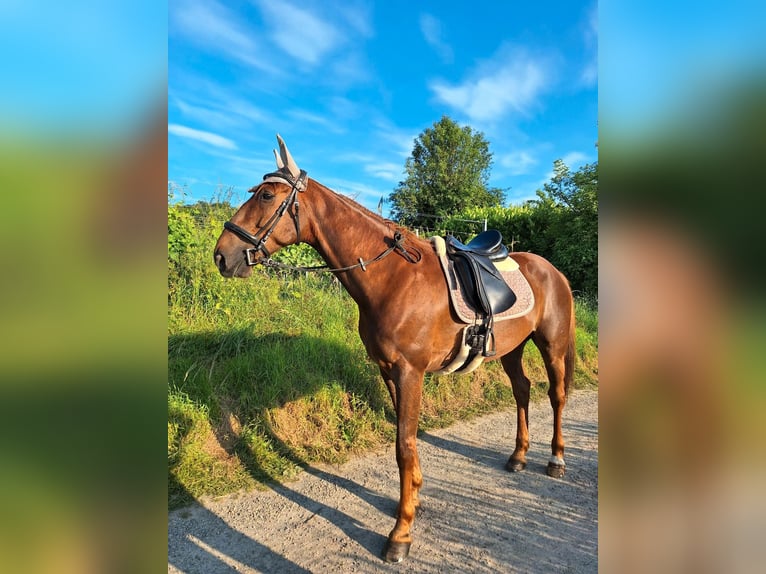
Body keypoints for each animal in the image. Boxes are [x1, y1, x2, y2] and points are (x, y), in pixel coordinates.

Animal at [212, 136, 576, 568]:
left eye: (267, 195)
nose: (222, 255)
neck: (393, 278)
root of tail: (552, 270)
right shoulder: (388, 371)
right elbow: (405, 443)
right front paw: (412, 499)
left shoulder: (409, 372)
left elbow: (404, 446)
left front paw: (400, 533)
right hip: (511, 349)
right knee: (522, 389)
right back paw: (518, 457)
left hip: (552, 345)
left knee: (556, 395)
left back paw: (555, 461)